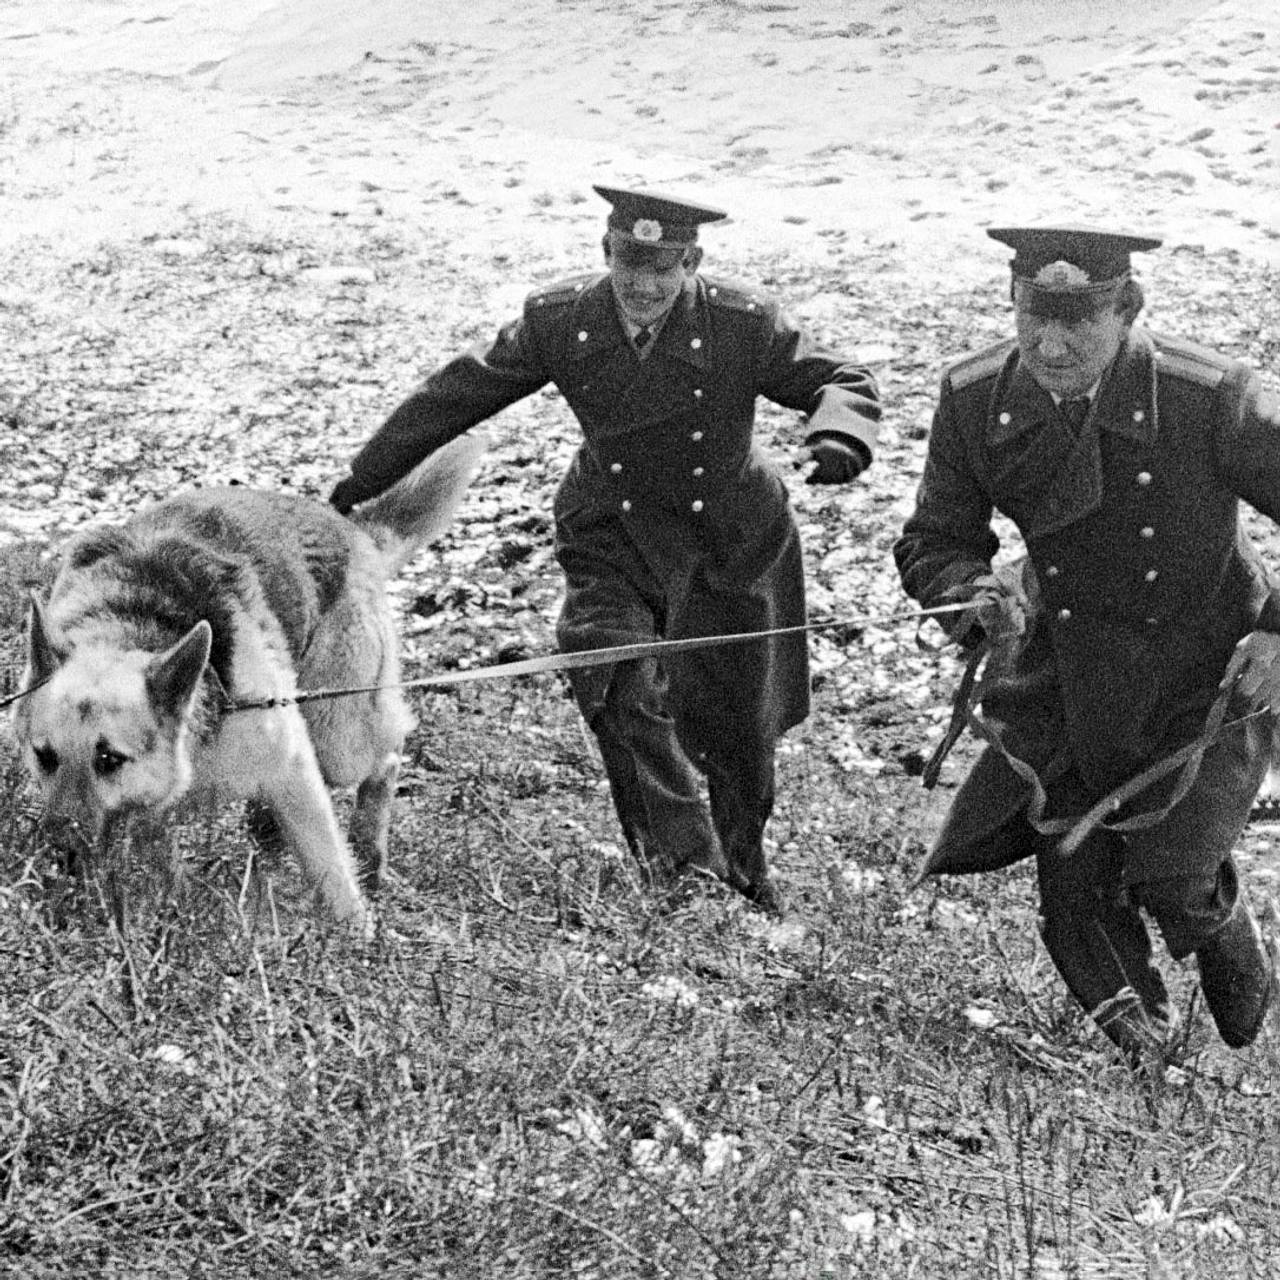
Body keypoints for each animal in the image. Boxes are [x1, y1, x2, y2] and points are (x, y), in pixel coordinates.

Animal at [11, 430, 483, 931]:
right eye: (44, 756)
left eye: (109, 759)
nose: (60, 855)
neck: (127, 624)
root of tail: (350, 527)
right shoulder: (153, 815)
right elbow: (164, 866)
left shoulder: (293, 767)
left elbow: (330, 869)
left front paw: (356, 933)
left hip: (337, 735)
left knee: (386, 758)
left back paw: (368, 849)